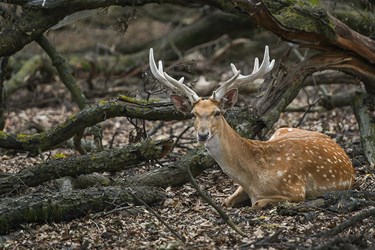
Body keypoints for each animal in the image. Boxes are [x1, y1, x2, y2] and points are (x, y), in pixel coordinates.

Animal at [148, 46, 356, 209]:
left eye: (218, 112)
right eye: (193, 114)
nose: (203, 134)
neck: (254, 178)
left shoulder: (295, 189)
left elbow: (257, 203)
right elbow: (226, 201)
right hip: (281, 130)